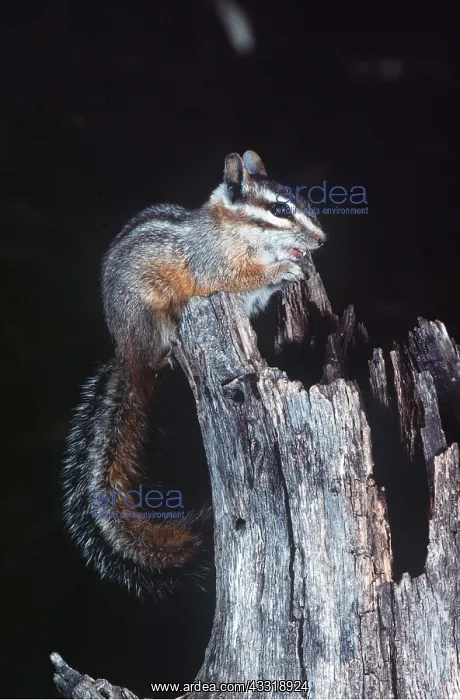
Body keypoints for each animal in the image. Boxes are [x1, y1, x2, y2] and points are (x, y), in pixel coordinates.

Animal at [62, 150, 326, 597]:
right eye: (279, 209)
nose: (322, 241)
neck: (233, 232)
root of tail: (126, 351)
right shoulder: (214, 267)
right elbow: (240, 277)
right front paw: (283, 271)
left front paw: (300, 264)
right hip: (153, 318)